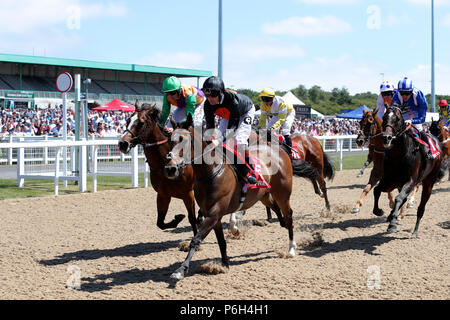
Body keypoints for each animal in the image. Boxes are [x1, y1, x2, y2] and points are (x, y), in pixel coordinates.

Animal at [118, 102, 200, 235]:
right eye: (128, 120)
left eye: (141, 123)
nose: (122, 144)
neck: (164, 164)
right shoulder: (163, 195)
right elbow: (160, 223)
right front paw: (177, 219)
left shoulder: (188, 193)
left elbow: (192, 219)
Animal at [163, 117, 318, 280]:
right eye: (170, 140)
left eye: (183, 140)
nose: (170, 169)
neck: (210, 172)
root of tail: (281, 151)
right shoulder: (211, 213)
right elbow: (221, 240)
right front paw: (225, 264)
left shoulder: (214, 212)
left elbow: (196, 239)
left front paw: (181, 270)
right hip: (263, 195)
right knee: (278, 211)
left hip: (282, 193)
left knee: (289, 215)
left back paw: (291, 248)